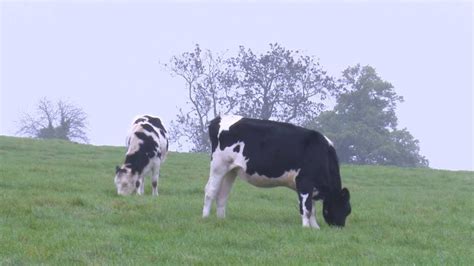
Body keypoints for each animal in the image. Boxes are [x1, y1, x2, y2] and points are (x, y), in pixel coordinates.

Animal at [202, 115, 350, 228]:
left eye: (348, 210)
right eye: (344, 207)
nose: (340, 227)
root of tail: (219, 118)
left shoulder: (310, 187)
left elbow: (311, 209)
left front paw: (315, 228)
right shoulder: (304, 181)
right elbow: (306, 208)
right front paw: (306, 227)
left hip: (231, 170)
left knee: (222, 194)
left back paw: (221, 219)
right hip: (218, 166)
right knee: (210, 191)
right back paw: (205, 217)